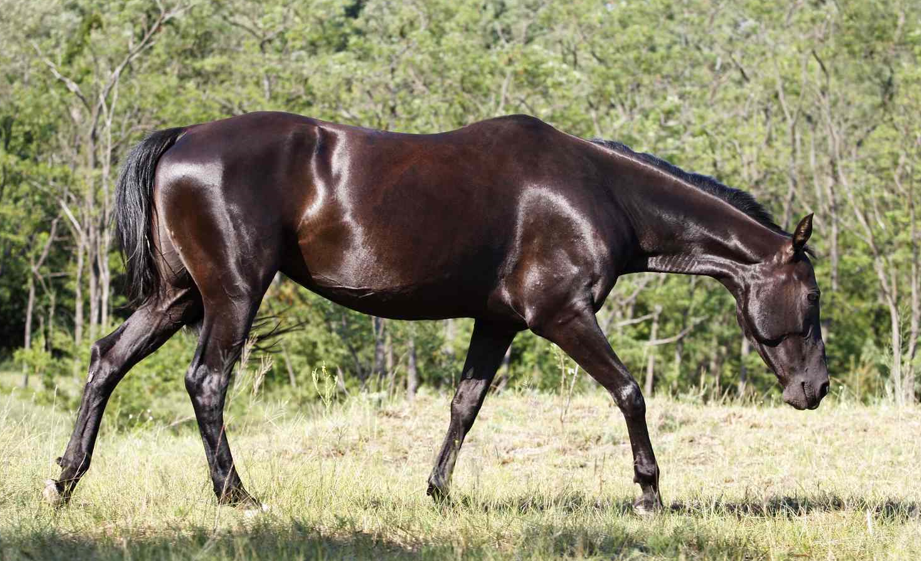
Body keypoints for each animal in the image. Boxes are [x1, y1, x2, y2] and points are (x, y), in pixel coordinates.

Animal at [45, 112, 828, 512]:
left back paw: (66, 480)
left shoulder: (499, 321)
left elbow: (464, 405)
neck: (594, 190)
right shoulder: (560, 315)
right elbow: (630, 391)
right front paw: (648, 493)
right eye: (813, 295)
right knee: (207, 383)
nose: (814, 388)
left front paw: (437, 492)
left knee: (108, 360)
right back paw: (237, 495)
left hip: (176, 295)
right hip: (232, 293)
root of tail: (183, 137)